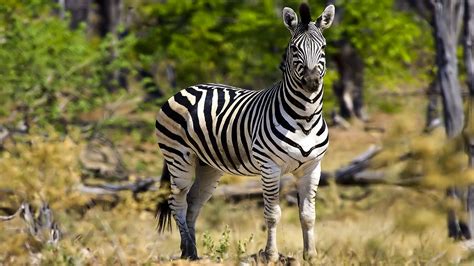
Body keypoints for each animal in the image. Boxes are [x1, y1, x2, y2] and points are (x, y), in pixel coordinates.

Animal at [156, 2, 334, 262]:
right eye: (294, 48)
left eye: (323, 47)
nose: (311, 82)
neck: (306, 119)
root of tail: (186, 89)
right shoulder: (269, 167)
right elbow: (272, 214)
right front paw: (271, 255)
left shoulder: (312, 167)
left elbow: (308, 215)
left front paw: (310, 255)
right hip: (178, 158)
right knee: (177, 201)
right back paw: (188, 250)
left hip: (208, 166)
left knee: (193, 203)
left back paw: (194, 253)